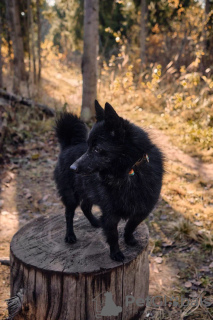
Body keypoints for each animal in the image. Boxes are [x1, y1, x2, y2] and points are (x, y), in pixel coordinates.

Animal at [54, 101, 164, 262]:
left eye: (96, 149)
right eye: (87, 146)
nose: (72, 168)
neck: (129, 171)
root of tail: (67, 146)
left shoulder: (142, 209)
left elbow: (131, 225)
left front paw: (129, 239)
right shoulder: (110, 213)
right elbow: (113, 235)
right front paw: (116, 253)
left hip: (88, 192)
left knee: (85, 207)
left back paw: (95, 222)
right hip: (71, 195)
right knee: (69, 213)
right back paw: (70, 235)